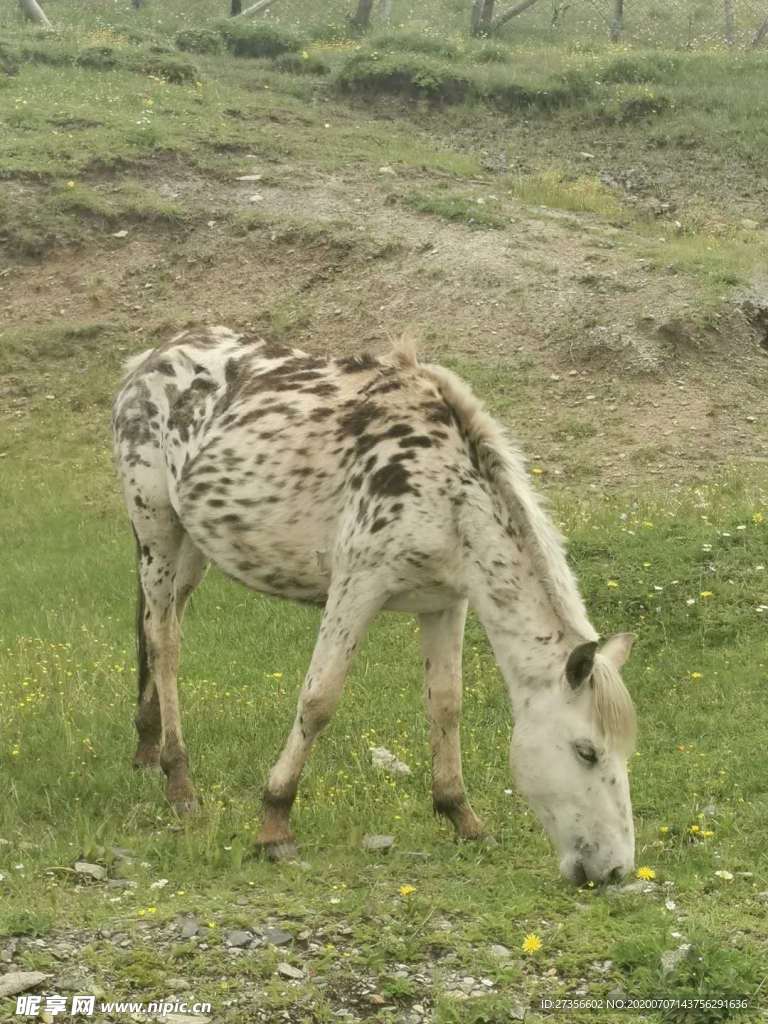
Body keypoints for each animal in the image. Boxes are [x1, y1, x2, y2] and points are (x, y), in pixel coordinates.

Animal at [114, 329, 638, 888]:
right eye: (586, 750)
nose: (614, 869)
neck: (447, 489)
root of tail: (149, 359)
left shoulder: (446, 603)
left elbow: (445, 704)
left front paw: (462, 816)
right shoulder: (358, 585)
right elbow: (318, 700)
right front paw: (275, 823)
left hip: (191, 551)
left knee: (159, 626)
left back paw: (146, 749)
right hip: (157, 531)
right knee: (165, 645)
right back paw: (179, 783)